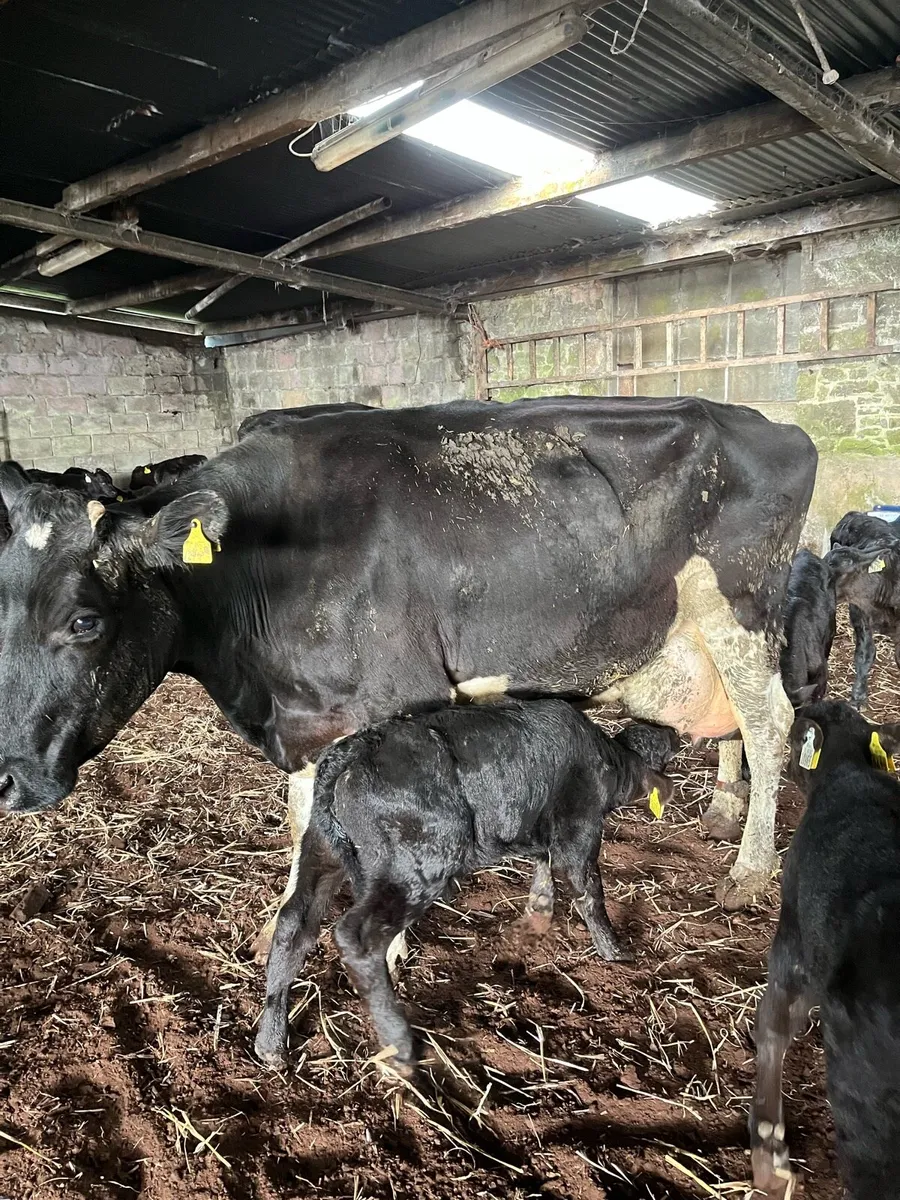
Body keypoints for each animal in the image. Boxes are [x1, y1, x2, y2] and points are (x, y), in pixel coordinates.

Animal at [0, 395, 816, 920]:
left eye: (83, 619)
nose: (5, 779)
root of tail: (767, 422)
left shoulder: (393, 705)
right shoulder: (309, 721)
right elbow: (303, 827)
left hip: (741, 609)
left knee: (769, 722)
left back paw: (749, 869)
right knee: (732, 722)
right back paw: (722, 806)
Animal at [255, 701, 679, 1073]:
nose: (675, 732)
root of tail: (361, 745)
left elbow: (543, 867)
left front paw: (540, 911)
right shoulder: (579, 830)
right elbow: (589, 890)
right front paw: (616, 952)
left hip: (320, 851)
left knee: (293, 923)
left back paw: (271, 1043)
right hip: (416, 866)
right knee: (357, 937)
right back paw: (399, 1046)